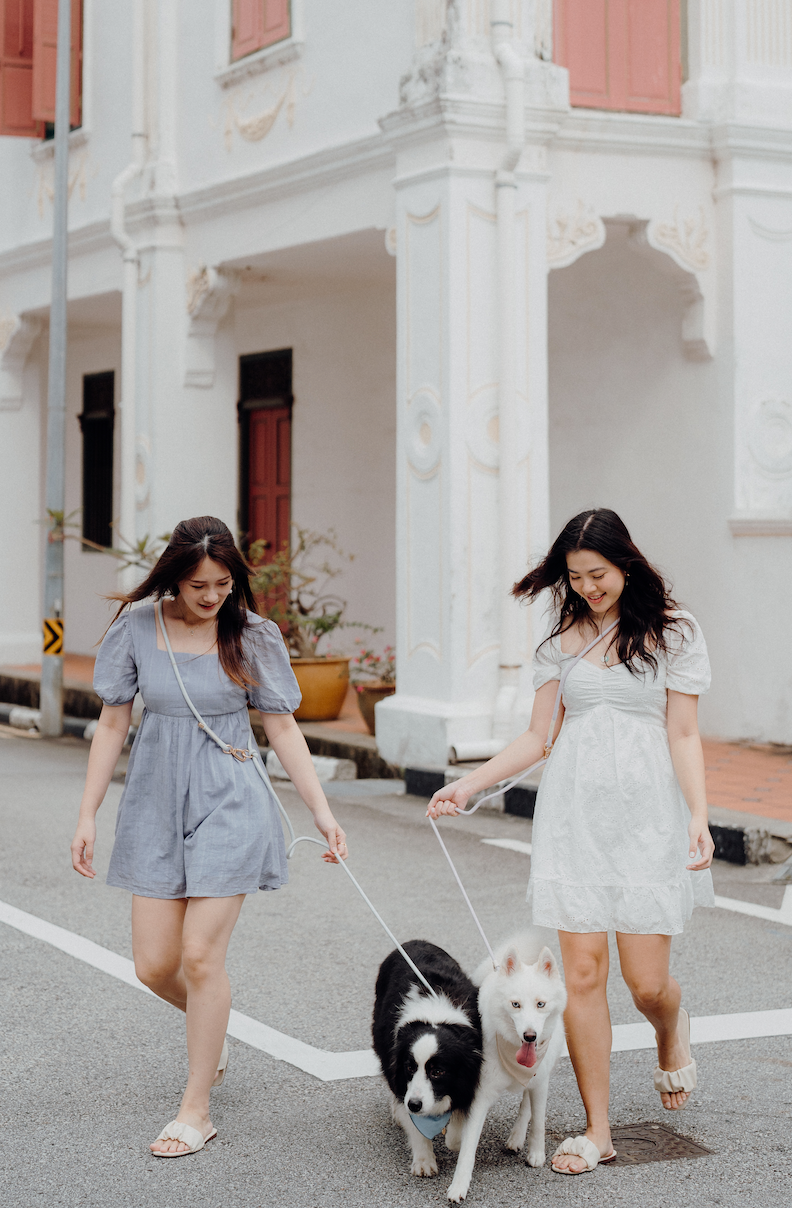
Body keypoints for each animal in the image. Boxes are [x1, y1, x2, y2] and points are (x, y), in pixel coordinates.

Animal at [371, 937, 482, 1174]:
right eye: (410, 1067)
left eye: (438, 1071)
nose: (414, 1104)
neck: (435, 1016)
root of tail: (414, 940)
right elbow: (415, 1125)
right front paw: (424, 1161)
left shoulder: (470, 1074)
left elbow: (458, 1119)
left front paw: (453, 1137)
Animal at [444, 932, 569, 1198]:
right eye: (515, 1005)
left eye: (540, 1004)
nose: (530, 1036)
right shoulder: (480, 1093)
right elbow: (467, 1145)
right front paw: (459, 1185)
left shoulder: (540, 1082)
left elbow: (539, 1121)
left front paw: (536, 1153)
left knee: (527, 1105)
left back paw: (517, 1137)